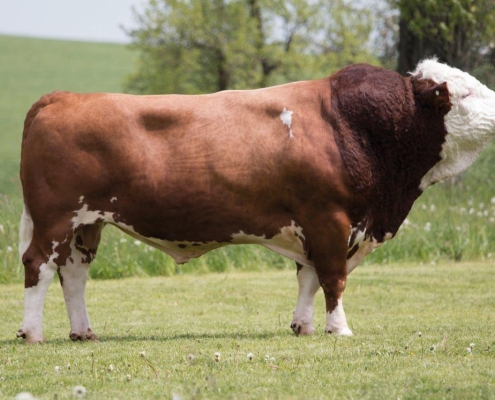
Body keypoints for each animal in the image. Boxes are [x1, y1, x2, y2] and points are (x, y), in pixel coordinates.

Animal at [17, 59, 495, 343]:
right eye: (466, 94)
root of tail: (63, 97)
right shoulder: (330, 219)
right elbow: (333, 278)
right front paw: (338, 328)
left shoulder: (314, 224)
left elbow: (308, 278)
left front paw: (303, 326)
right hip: (55, 218)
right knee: (38, 266)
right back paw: (31, 332)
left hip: (87, 224)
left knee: (74, 275)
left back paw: (83, 332)